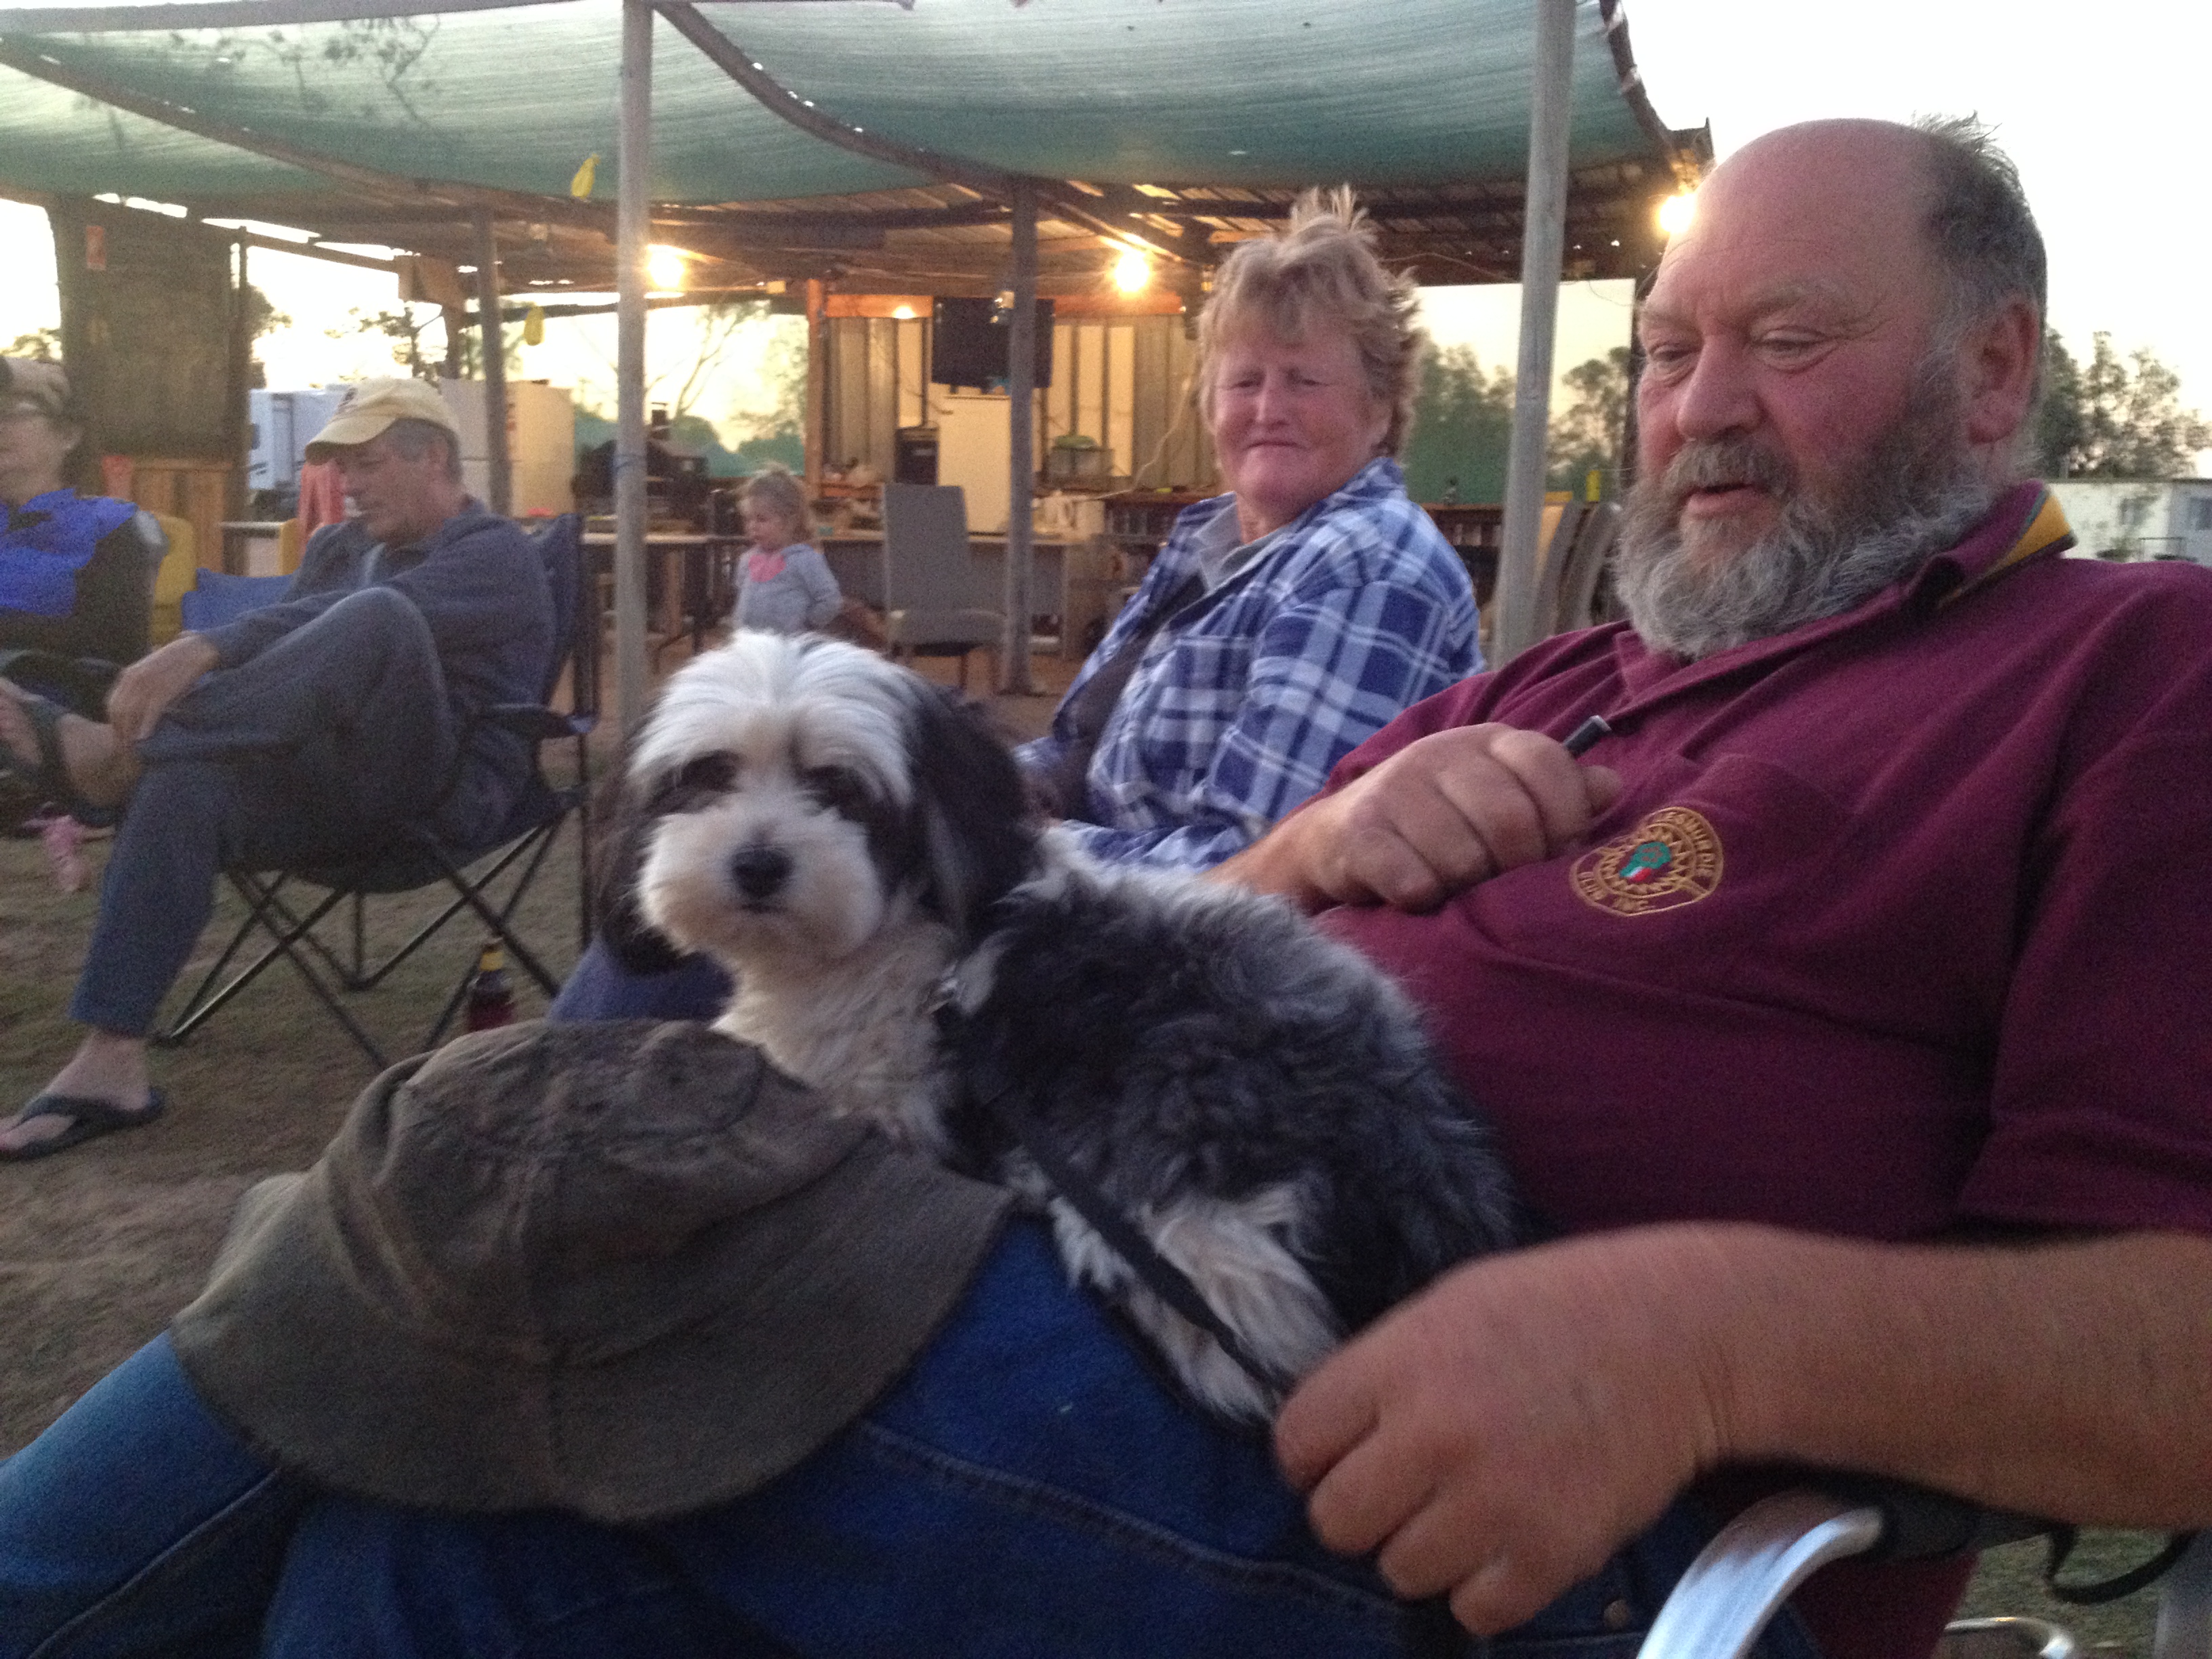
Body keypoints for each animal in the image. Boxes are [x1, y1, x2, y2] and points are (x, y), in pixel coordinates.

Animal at [597, 628, 1513, 1425]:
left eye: (842, 791)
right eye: (707, 775)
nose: (757, 863)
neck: (900, 942)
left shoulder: (886, 1105)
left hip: (1188, 1229)